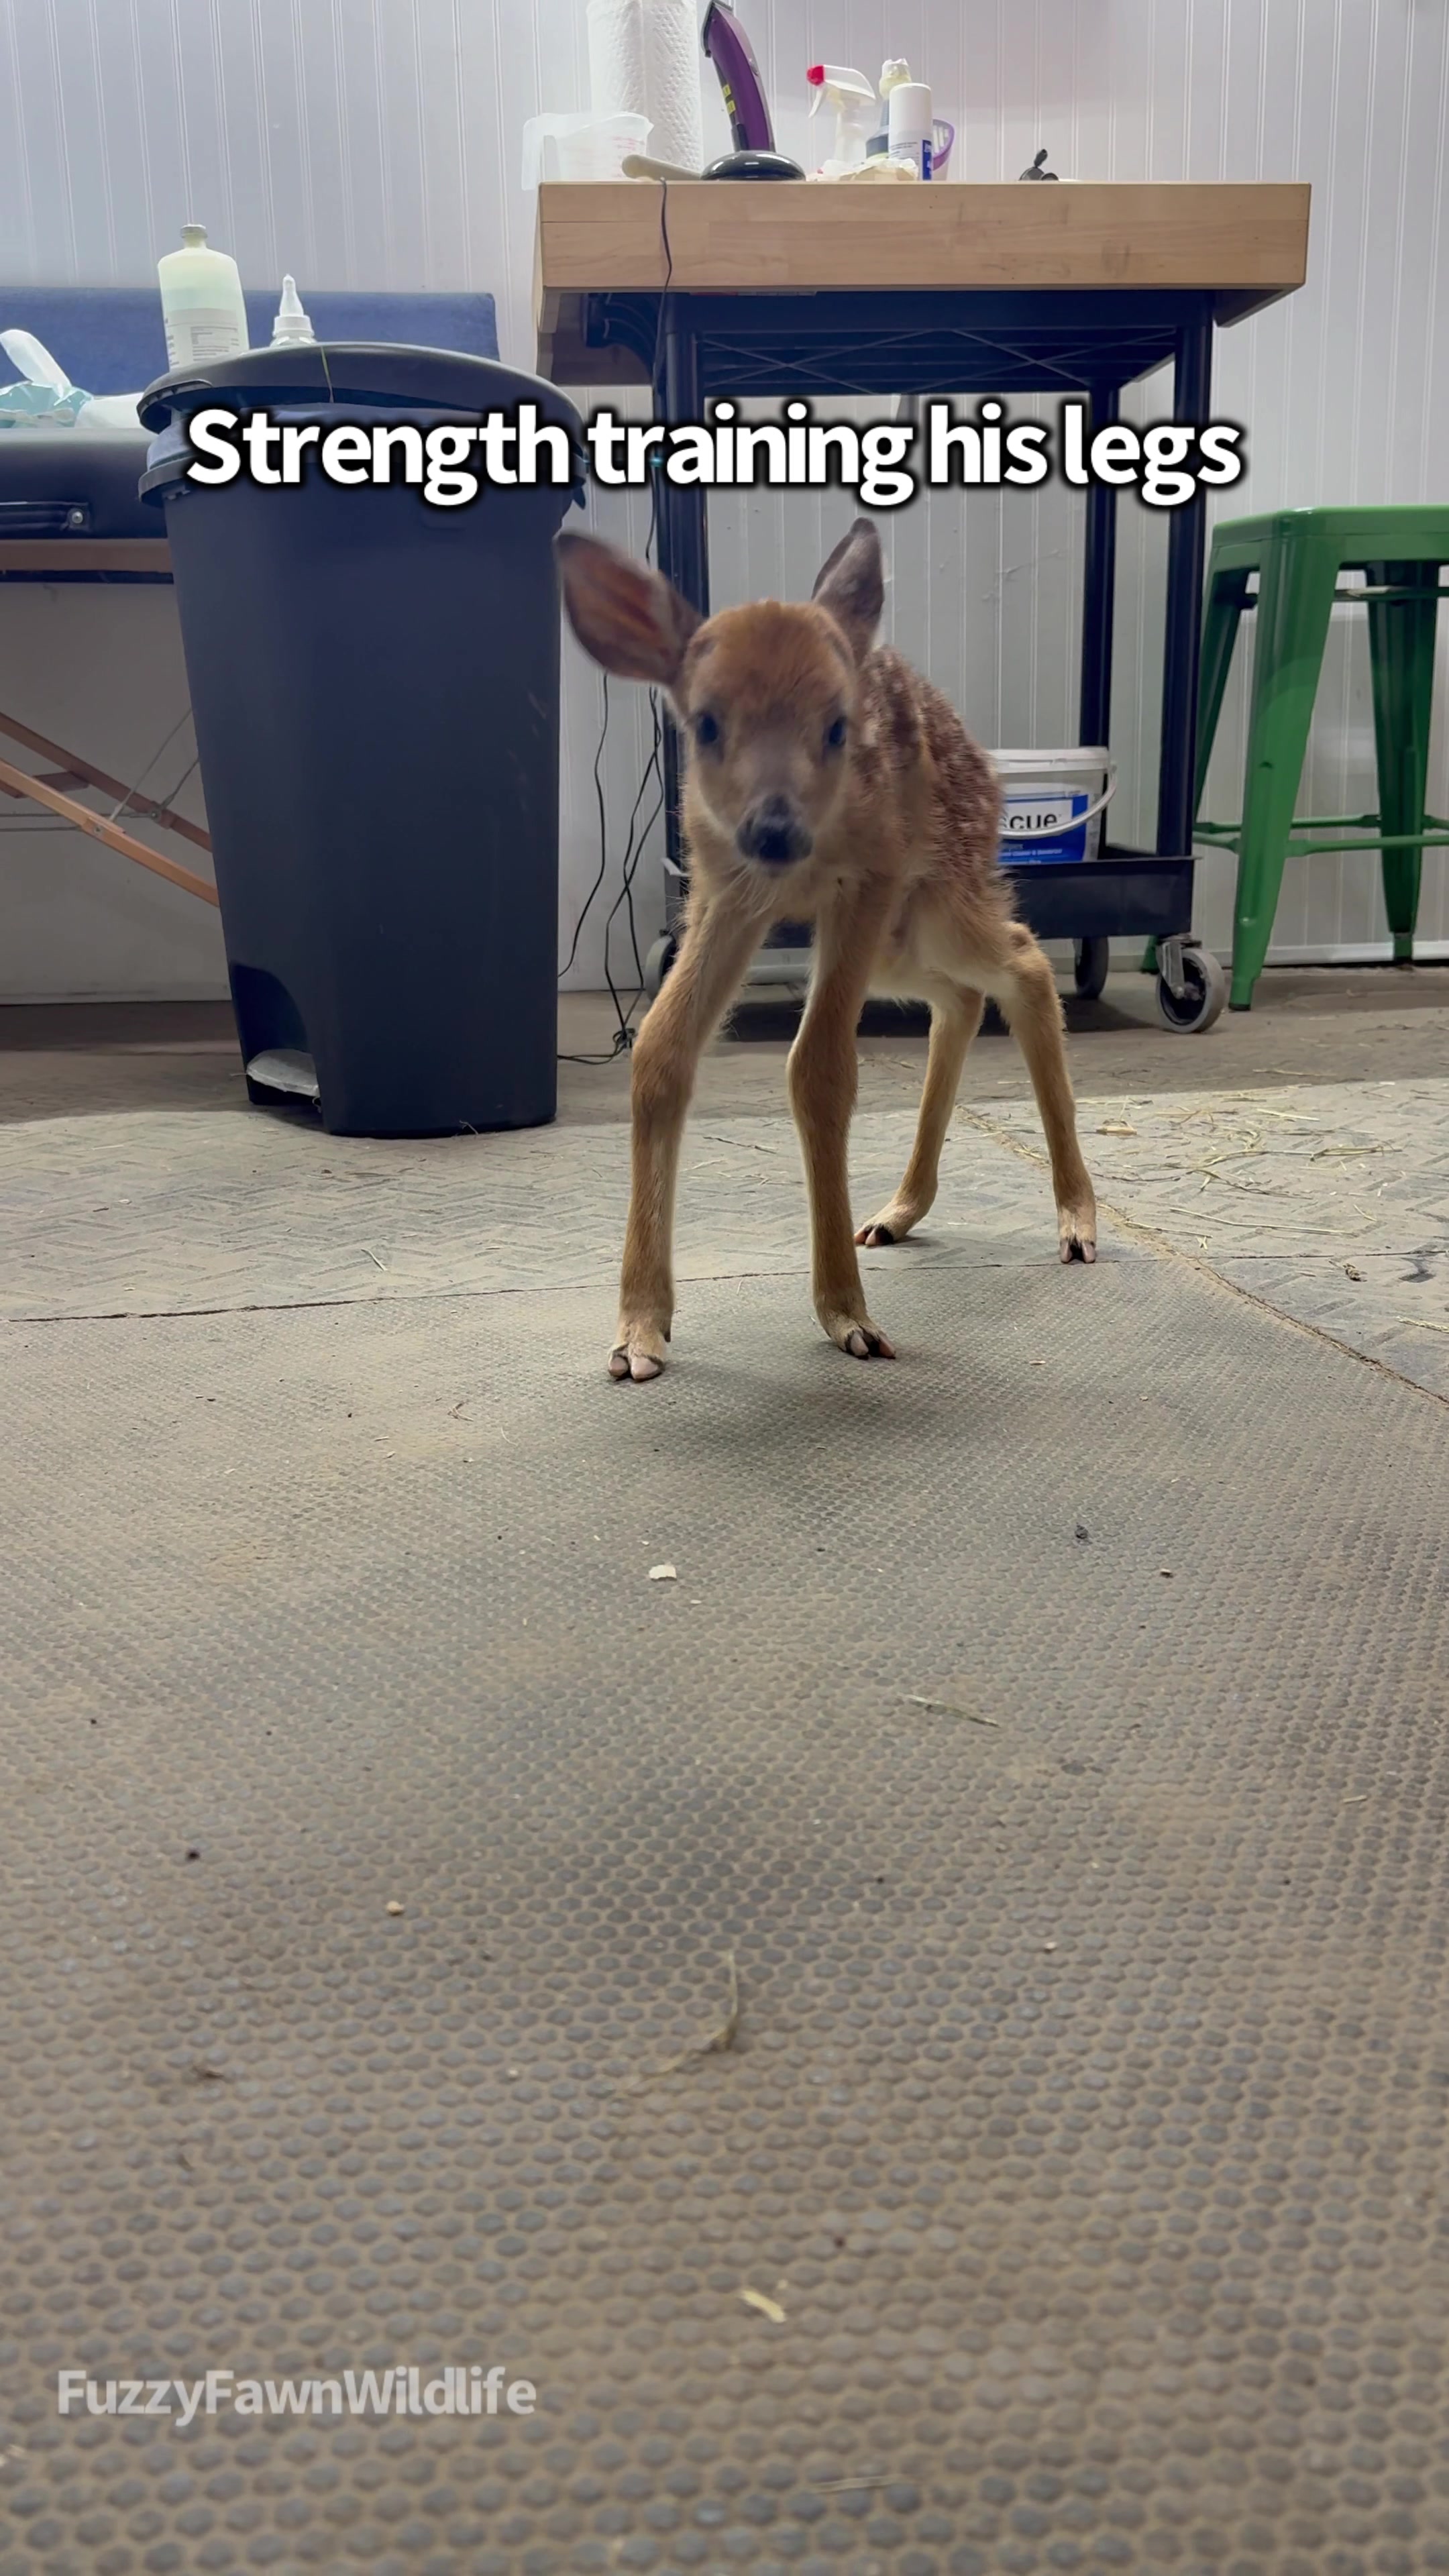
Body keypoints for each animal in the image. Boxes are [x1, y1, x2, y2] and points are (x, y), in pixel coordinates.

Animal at [555, 517, 1096, 1382]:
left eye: (839, 725)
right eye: (706, 722)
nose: (775, 826)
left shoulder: (865, 878)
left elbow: (820, 1068)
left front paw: (847, 1315)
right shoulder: (726, 888)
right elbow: (662, 1050)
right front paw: (638, 1329)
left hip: (936, 895)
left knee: (1024, 959)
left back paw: (1076, 1219)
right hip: (900, 944)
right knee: (963, 995)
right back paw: (898, 1212)